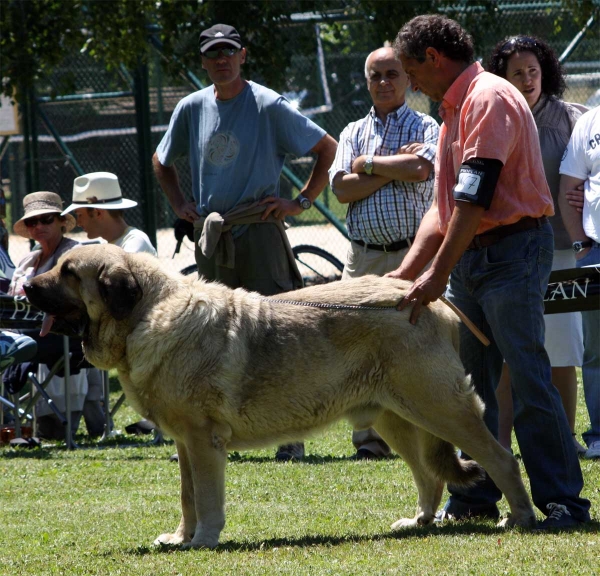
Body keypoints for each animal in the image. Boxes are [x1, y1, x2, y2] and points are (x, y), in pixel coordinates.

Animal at [24, 244, 536, 548]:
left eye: (68, 272)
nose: (26, 286)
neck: (147, 314)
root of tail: (421, 296)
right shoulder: (185, 443)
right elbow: (188, 496)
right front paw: (182, 537)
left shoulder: (203, 441)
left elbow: (206, 497)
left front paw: (204, 539)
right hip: (395, 417)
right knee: (428, 474)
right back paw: (419, 522)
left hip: (440, 407)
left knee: (500, 458)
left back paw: (522, 518)